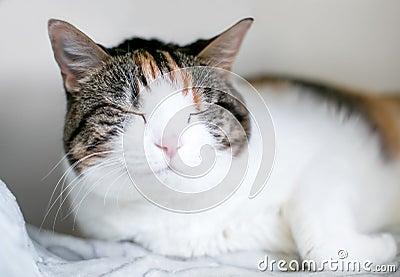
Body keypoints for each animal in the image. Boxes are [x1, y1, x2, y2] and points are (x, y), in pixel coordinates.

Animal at [47, 16, 400, 266]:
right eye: (129, 111)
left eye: (197, 109)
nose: (170, 143)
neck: (190, 209)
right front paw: (384, 243)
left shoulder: (331, 149)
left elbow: (321, 241)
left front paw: (383, 243)